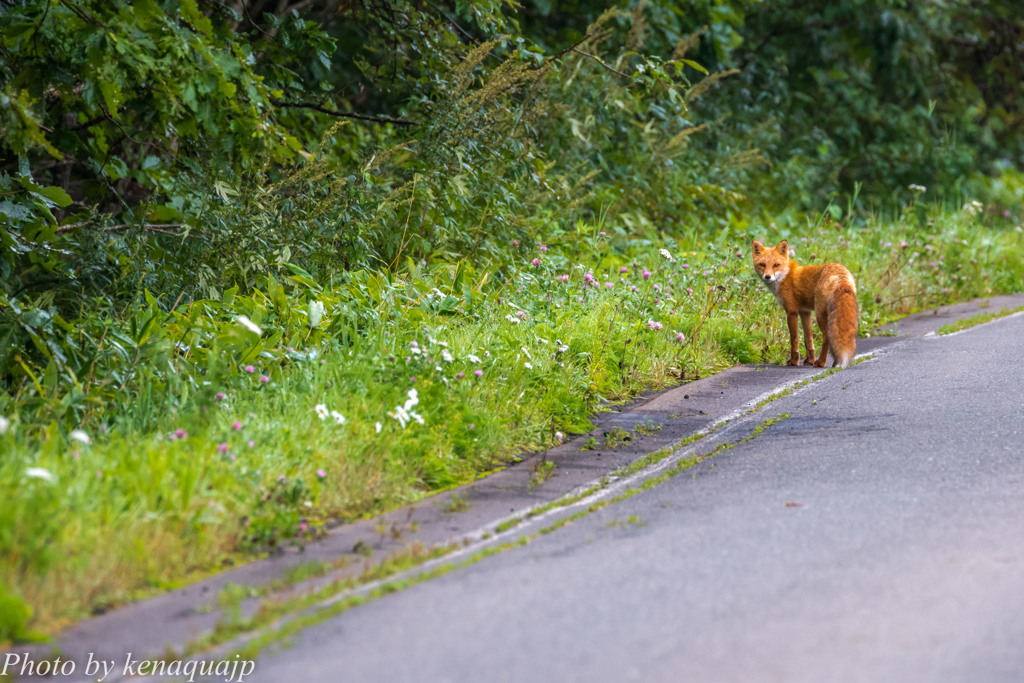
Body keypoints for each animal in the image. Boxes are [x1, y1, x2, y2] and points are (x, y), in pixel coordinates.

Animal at [749, 240, 860, 368]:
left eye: (776, 265)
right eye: (762, 264)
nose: (767, 276)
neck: (785, 275)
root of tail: (841, 274)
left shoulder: (792, 311)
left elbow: (794, 340)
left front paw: (794, 361)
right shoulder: (805, 312)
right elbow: (808, 339)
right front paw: (810, 360)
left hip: (820, 314)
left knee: (827, 336)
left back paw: (821, 362)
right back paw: (835, 363)